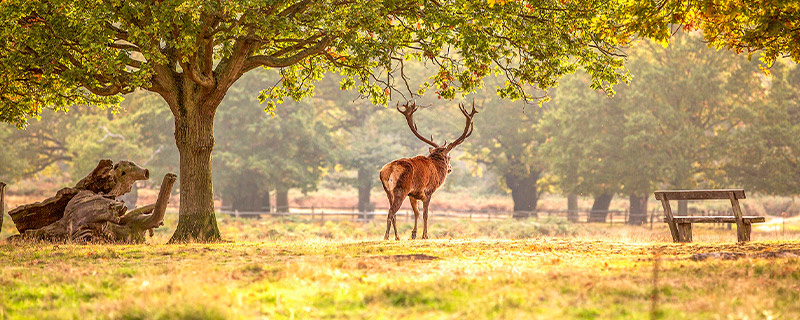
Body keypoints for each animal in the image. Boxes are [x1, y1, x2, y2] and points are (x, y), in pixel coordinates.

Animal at [378, 100, 478, 240]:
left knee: (394, 214)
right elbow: (425, 214)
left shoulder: (412, 194)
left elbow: (416, 212)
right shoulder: (428, 191)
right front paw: (425, 235)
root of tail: (388, 171)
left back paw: (397, 237)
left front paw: (413, 234)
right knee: (391, 212)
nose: (450, 168)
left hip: (388, 192)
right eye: (449, 157)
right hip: (400, 190)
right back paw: (386, 237)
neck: (437, 168)